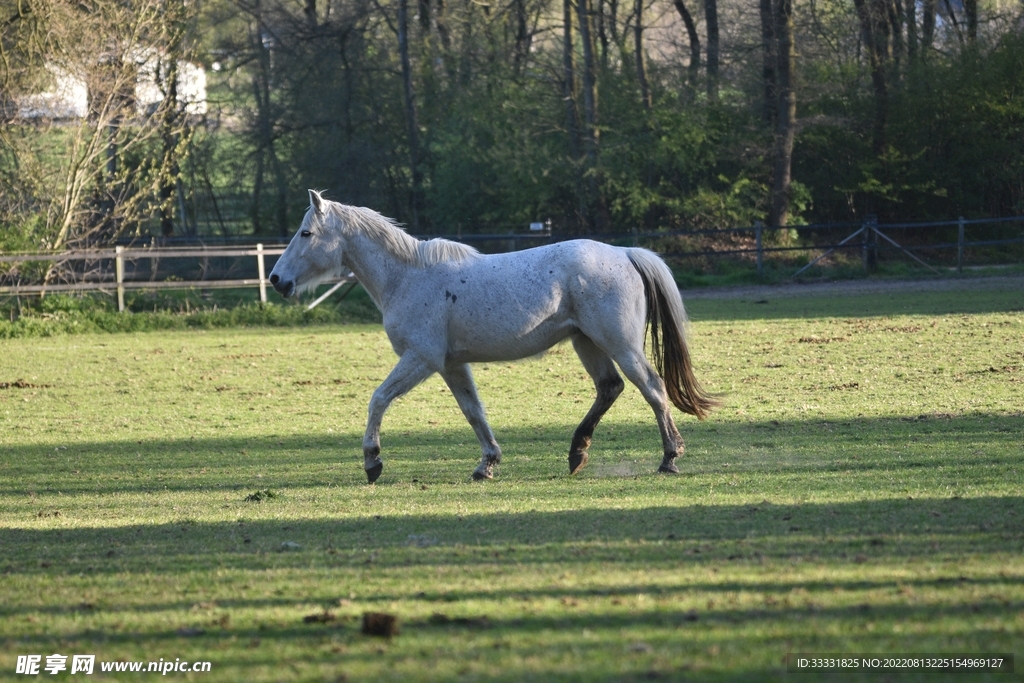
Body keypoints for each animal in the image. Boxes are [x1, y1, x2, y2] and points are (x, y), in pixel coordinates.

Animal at [272, 189, 720, 483]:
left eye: (306, 233)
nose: (277, 279)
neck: (407, 277)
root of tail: (624, 253)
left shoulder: (421, 358)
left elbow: (378, 399)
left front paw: (372, 462)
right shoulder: (451, 365)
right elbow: (474, 412)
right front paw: (486, 464)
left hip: (620, 344)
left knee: (653, 388)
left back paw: (669, 458)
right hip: (586, 342)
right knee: (610, 388)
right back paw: (577, 453)